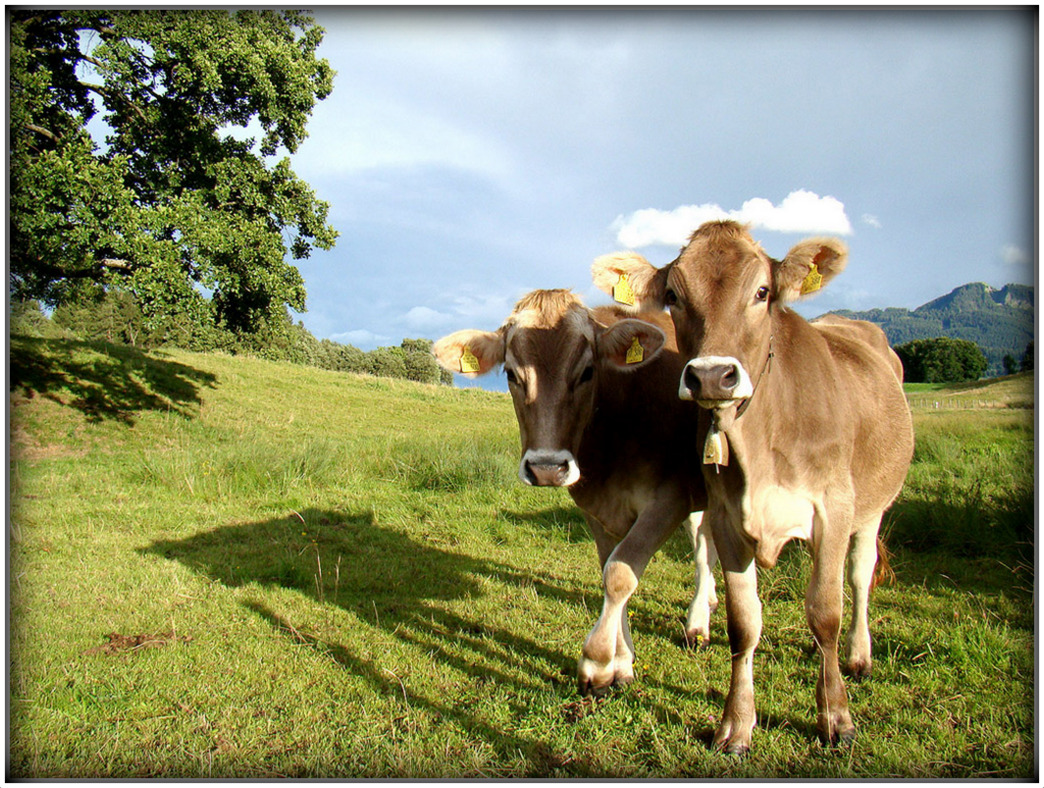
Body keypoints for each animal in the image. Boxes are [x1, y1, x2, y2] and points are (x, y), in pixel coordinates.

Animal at [434, 292, 718, 697]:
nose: (546, 468)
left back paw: (698, 623)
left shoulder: (670, 498)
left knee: (706, 546)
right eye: (511, 374)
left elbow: (620, 574)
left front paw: (596, 664)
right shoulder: (595, 507)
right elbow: (610, 568)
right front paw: (621, 662)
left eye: (587, 372)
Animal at [597, 220, 914, 751]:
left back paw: (859, 656)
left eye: (762, 292)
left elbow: (825, 613)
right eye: (673, 295)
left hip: (873, 507)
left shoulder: (833, 510)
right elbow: (743, 624)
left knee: (860, 574)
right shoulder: (727, 517)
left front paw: (836, 717)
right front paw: (736, 724)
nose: (711, 376)